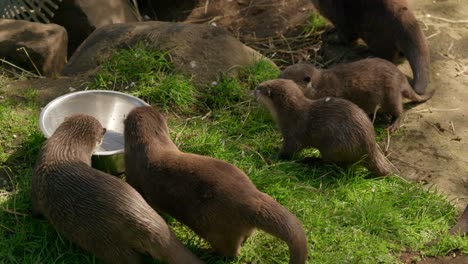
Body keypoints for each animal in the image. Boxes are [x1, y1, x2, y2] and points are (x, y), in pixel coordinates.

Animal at [122, 105, 308, 264]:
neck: (150, 145)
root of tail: (251, 198)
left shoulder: (133, 174)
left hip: (217, 229)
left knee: (231, 251)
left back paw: (207, 252)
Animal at [254, 79, 394, 176]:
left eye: (262, 87)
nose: (255, 88)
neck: (290, 114)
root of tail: (370, 147)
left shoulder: (293, 134)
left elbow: (288, 151)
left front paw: (272, 157)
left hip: (335, 147)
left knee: (336, 165)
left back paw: (311, 161)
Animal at [278, 58, 436, 131]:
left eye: (288, 80)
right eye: (282, 74)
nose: (276, 79)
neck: (320, 87)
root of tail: (401, 77)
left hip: (391, 93)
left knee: (399, 110)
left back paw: (393, 125)